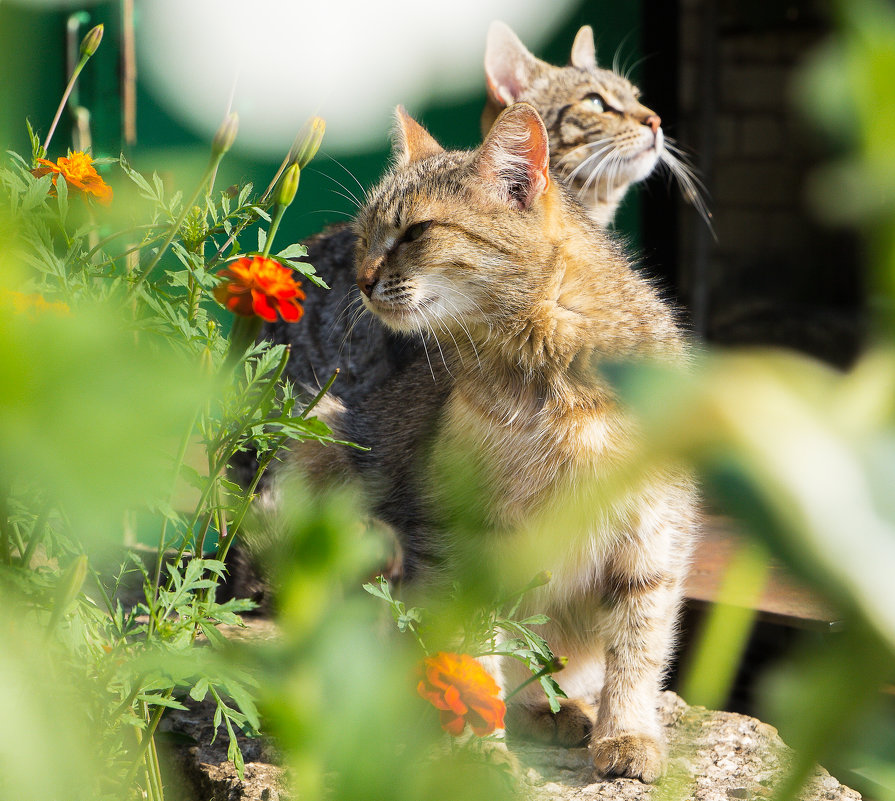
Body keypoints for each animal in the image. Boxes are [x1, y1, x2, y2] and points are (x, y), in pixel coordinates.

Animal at [280, 104, 700, 780]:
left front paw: (628, 734)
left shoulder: (651, 538)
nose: (362, 281)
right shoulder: (464, 536)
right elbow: (474, 655)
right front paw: (478, 750)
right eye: (366, 236)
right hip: (320, 449)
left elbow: (636, 653)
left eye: (417, 232)